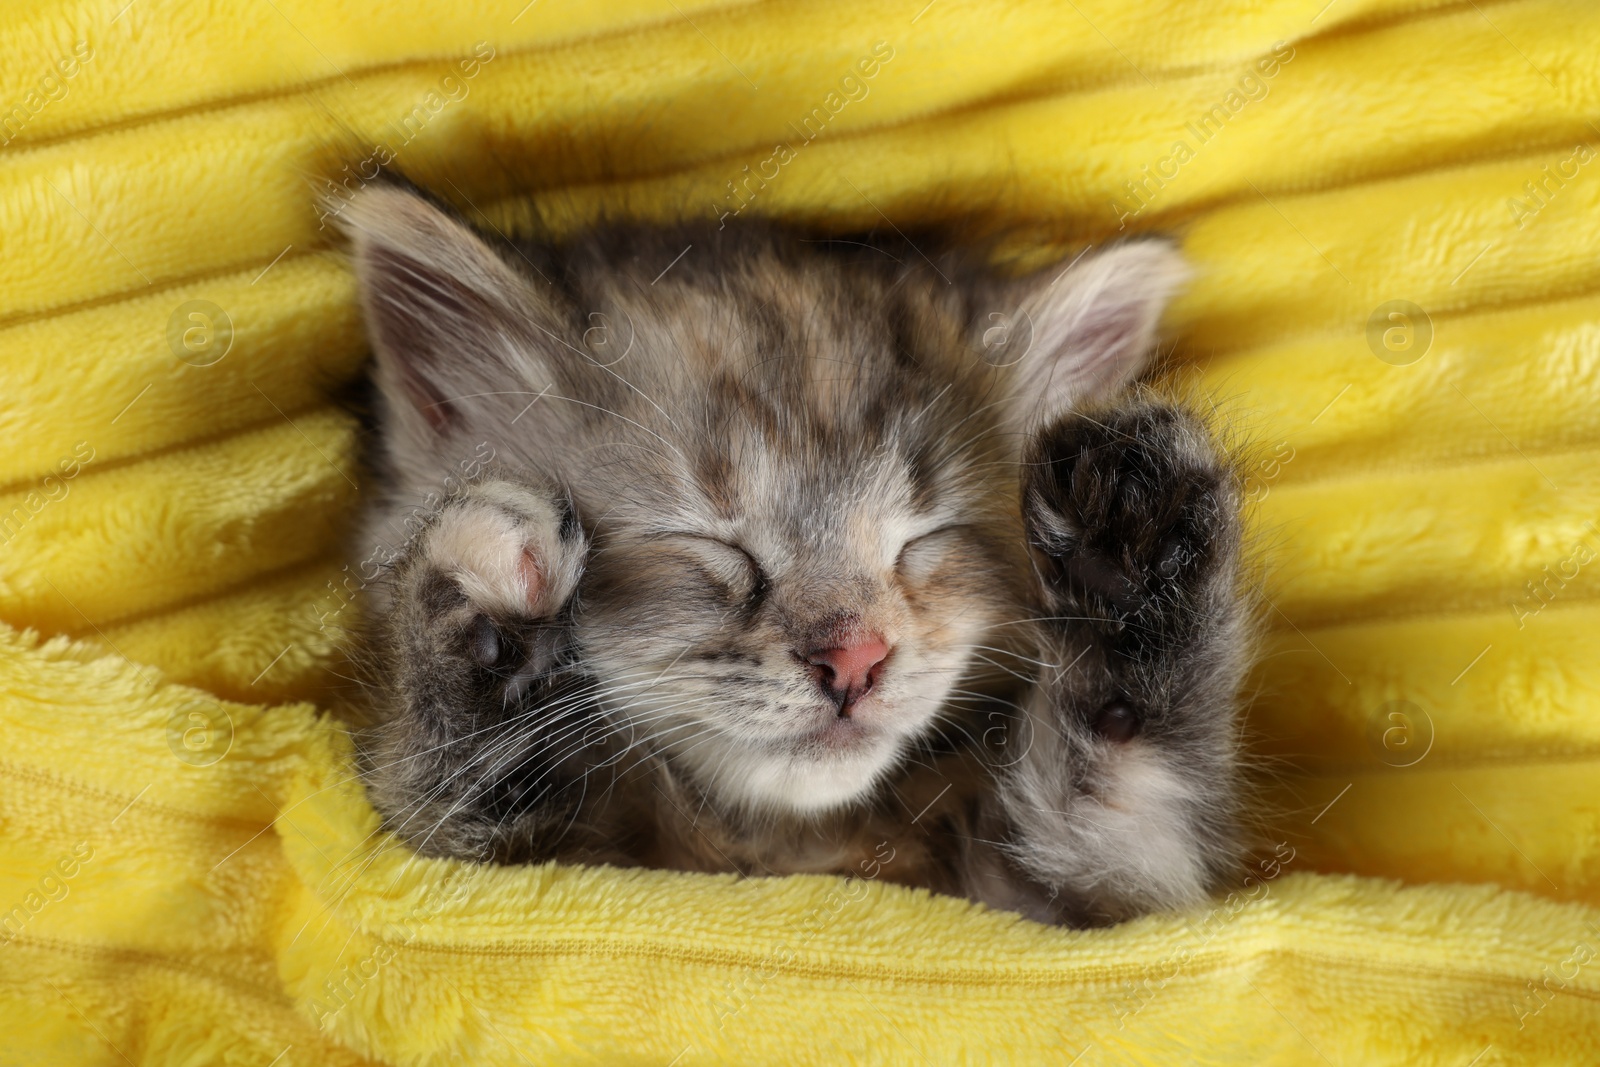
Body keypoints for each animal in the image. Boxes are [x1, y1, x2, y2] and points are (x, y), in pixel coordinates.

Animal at [344, 183, 1254, 927]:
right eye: (711, 543)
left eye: (922, 538)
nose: (855, 659)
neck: (780, 840)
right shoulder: (486, 864)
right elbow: (447, 791)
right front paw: (483, 589)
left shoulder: (1081, 893)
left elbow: (1121, 782)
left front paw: (1130, 553)